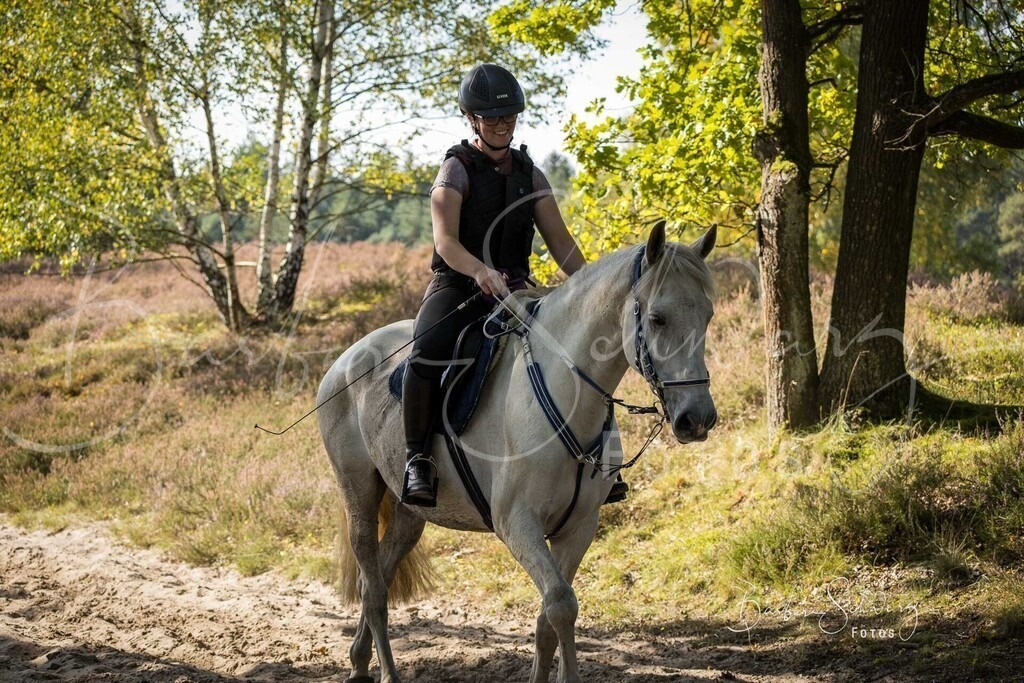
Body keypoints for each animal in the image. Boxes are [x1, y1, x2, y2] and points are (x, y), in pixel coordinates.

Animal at [317, 220, 718, 683]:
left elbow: (548, 617)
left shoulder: (578, 527)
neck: (565, 391)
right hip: (359, 495)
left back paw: (359, 661)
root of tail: (344, 361)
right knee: (374, 588)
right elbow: (561, 604)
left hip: (409, 513)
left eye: (707, 315)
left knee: (378, 575)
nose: (697, 418)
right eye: (656, 318)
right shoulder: (517, 524)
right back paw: (384, 672)